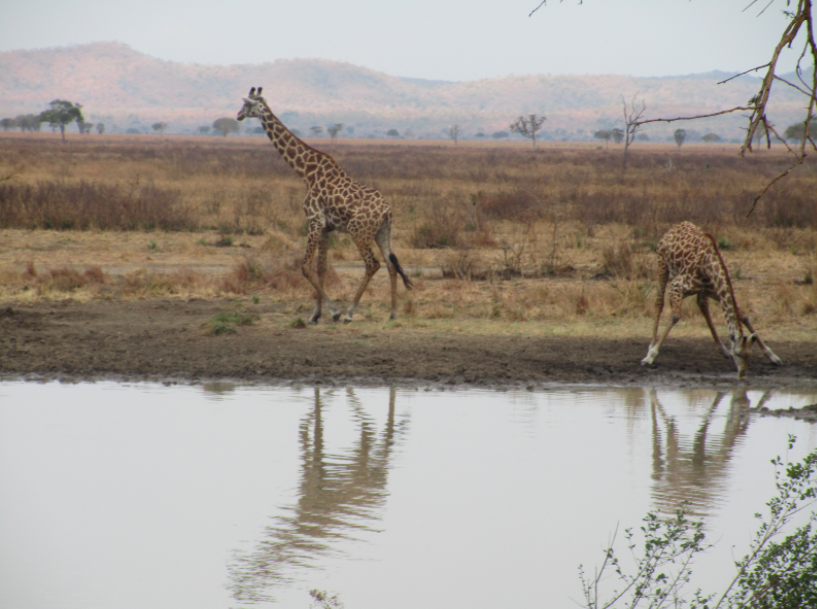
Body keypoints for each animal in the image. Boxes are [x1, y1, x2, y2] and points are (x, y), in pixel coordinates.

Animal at [237, 86, 414, 324]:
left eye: (247, 105)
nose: (238, 115)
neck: (306, 171)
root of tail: (387, 210)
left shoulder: (314, 221)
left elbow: (304, 267)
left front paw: (334, 311)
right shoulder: (325, 228)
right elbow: (321, 268)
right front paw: (316, 314)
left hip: (359, 232)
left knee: (372, 264)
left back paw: (350, 312)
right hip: (383, 232)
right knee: (390, 263)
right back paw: (393, 313)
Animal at [640, 221, 780, 378]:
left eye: (748, 355)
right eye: (737, 354)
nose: (742, 374)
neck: (709, 266)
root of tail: (674, 227)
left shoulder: (716, 291)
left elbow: (743, 315)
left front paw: (772, 356)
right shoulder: (676, 285)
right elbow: (675, 316)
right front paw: (651, 356)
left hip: (702, 290)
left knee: (702, 306)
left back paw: (723, 349)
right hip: (662, 264)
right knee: (659, 302)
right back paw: (651, 345)